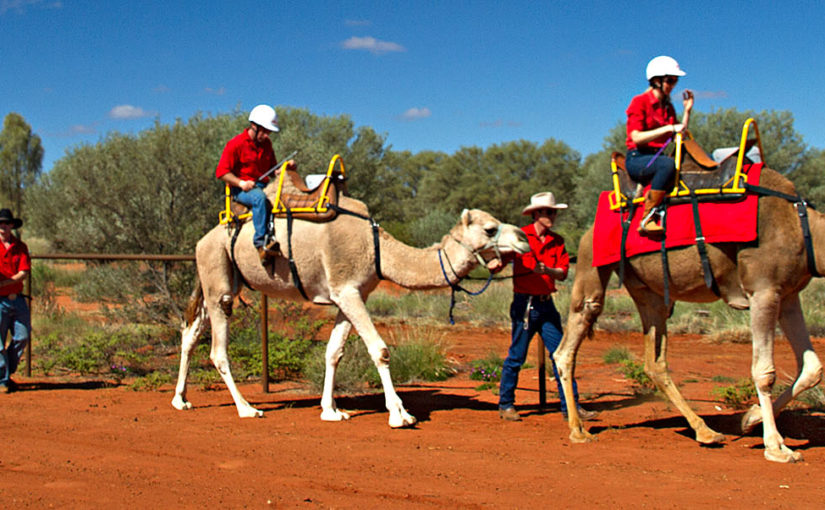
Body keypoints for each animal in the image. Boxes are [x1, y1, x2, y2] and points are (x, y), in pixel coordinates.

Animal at [172, 187, 528, 426]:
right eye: (490, 229)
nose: (524, 238)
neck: (379, 250)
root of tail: (202, 240)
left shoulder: (351, 295)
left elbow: (334, 352)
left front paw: (332, 410)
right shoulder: (348, 290)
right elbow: (380, 350)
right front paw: (400, 414)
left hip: (221, 279)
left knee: (190, 333)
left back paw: (181, 400)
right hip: (218, 277)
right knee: (217, 349)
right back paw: (247, 408)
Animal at [552, 164, 824, 462]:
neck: (803, 228)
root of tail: (587, 231)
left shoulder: (787, 295)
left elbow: (812, 369)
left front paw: (749, 419)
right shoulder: (763, 288)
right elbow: (764, 372)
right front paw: (776, 447)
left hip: (650, 293)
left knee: (655, 362)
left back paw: (705, 431)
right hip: (592, 266)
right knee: (569, 342)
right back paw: (578, 431)